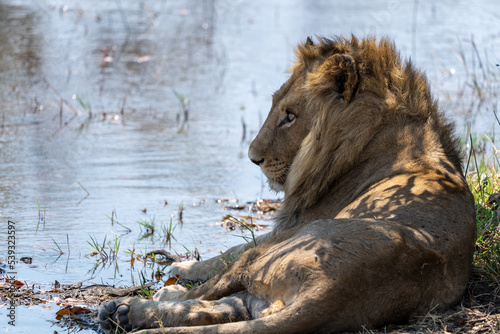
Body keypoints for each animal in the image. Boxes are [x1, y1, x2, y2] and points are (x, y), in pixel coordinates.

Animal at [98, 36, 476, 334]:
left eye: (290, 116)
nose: (252, 157)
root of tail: (334, 287)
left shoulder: (289, 226)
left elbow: (228, 251)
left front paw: (183, 266)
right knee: (231, 310)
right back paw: (125, 314)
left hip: (275, 250)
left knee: (214, 289)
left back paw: (145, 302)